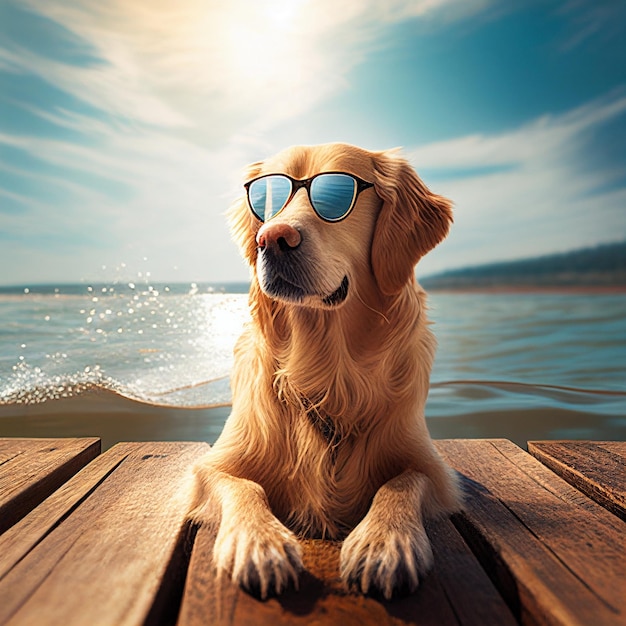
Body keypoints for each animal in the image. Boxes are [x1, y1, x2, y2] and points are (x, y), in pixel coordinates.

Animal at [193, 143, 460, 600]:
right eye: (268, 197)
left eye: (335, 196)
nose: (271, 238)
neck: (324, 369)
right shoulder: (211, 467)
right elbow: (244, 485)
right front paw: (259, 543)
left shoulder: (433, 469)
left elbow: (401, 483)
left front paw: (383, 542)